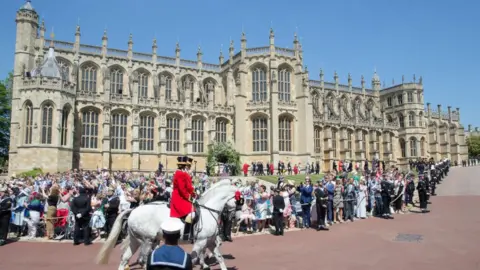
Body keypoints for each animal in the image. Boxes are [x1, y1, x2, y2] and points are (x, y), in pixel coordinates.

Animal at [97, 179, 238, 270]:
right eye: (239, 200)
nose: (234, 217)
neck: (208, 210)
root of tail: (134, 210)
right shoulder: (201, 242)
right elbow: (193, 259)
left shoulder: (210, 241)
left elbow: (220, 258)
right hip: (147, 240)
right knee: (143, 260)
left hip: (135, 240)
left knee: (125, 258)